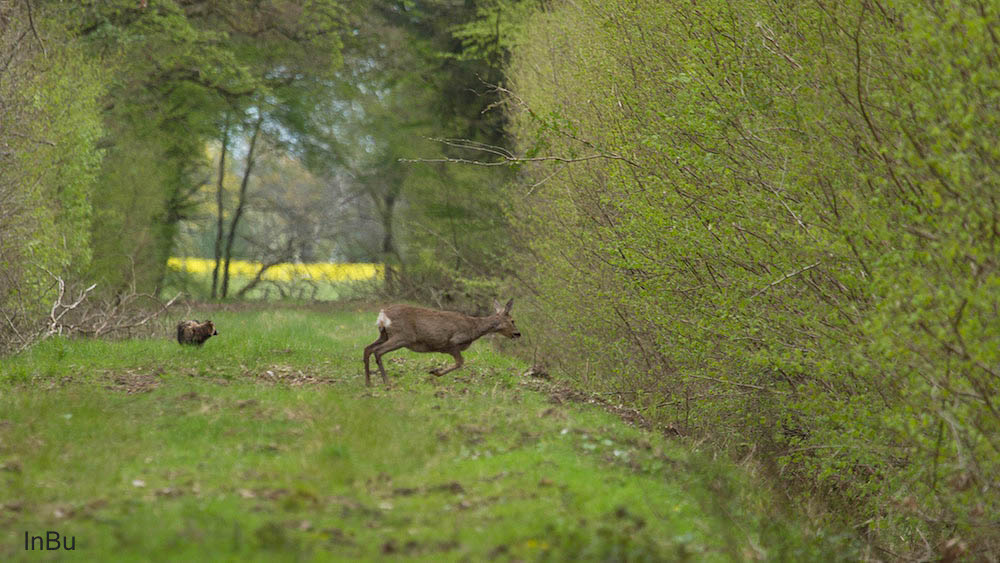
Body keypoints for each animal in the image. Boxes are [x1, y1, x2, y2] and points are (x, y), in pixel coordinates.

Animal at [368, 300, 524, 388]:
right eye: (513, 320)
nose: (518, 334)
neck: (474, 328)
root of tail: (382, 315)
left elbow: (459, 362)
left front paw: (434, 371)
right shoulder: (452, 343)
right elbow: (460, 362)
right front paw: (435, 372)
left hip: (384, 334)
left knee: (368, 349)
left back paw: (368, 382)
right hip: (402, 336)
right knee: (377, 351)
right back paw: (386, 382)